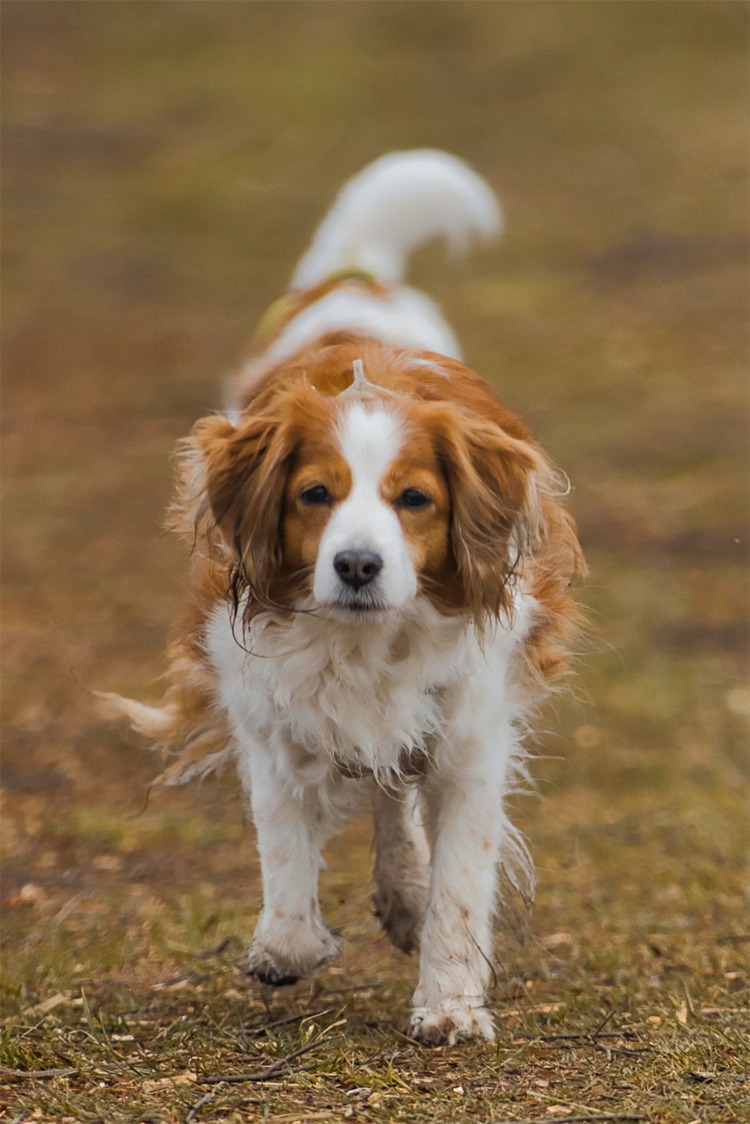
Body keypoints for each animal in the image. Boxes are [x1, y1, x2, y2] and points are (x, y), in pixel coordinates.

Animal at [106, 149, 584, 1043]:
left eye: (415, 499)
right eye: (315, 495)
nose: (358, 564)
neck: (368, 642)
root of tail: (352, 279)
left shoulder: (469, 735)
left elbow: (460, 884)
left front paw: (450, 1003)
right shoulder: (270, 711)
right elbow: (285, 847)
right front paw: (286, 947)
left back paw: (405, 892)